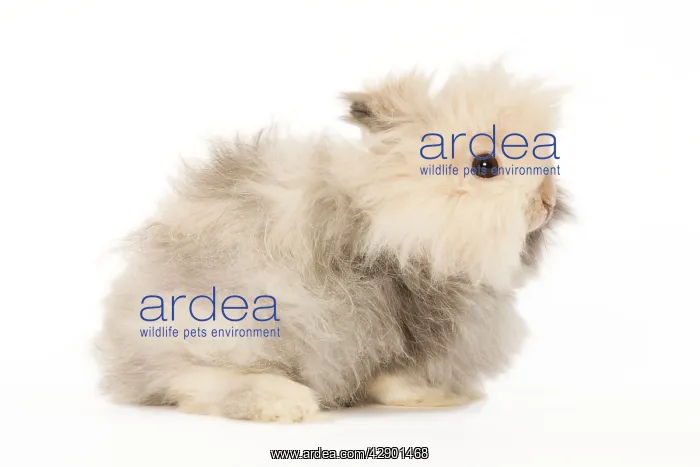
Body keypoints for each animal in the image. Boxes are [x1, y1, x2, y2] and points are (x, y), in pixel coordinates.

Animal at [95, 63, 568, 422]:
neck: (392, 225)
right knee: (193, 381)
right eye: (486, 165)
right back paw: (287, 403)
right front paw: (439, 397)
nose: (547, 200)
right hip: (230, 328)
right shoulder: (398, 325)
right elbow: (396, 377)